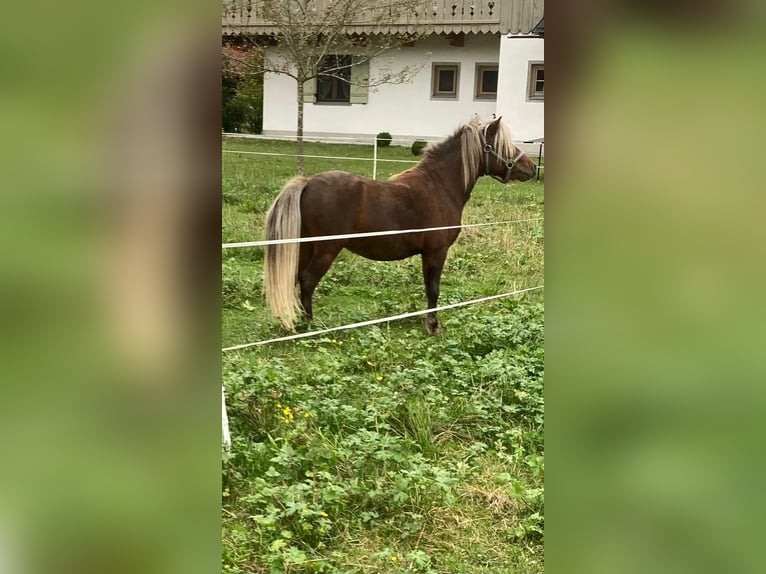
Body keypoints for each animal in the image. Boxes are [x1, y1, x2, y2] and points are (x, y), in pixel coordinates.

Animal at [263, 116, 537, 334]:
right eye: (501, 146)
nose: (532, 167)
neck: (439, 186)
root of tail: (307, 182)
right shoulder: (436, 253)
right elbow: (433, 290)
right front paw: (433, 326)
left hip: (304, 246)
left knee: (297, 278)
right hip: (326, 249)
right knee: (308, 280)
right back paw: (310, 325)